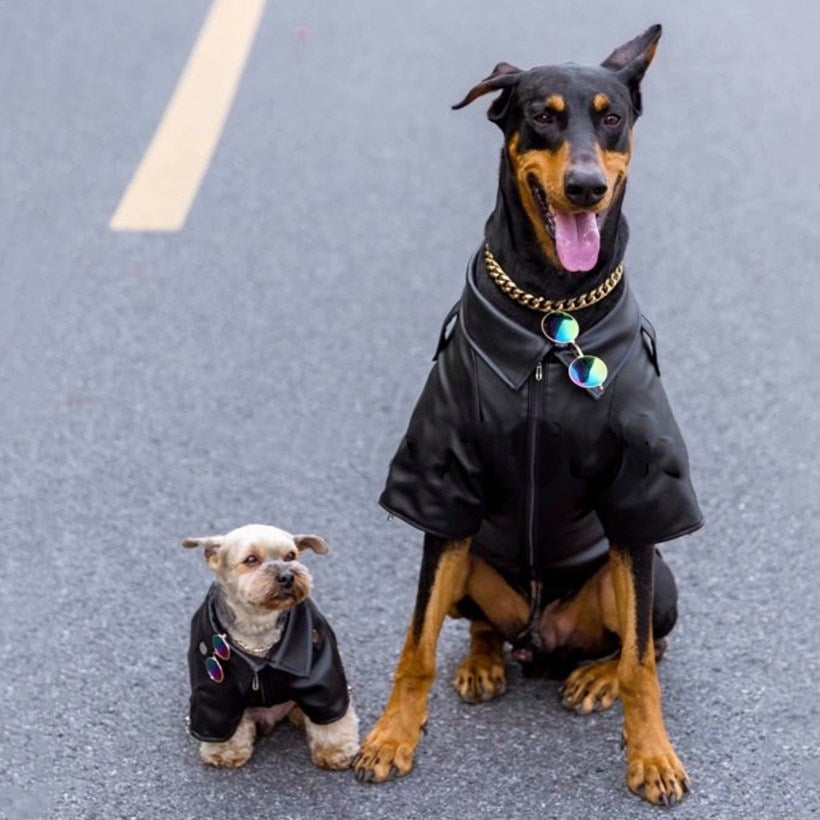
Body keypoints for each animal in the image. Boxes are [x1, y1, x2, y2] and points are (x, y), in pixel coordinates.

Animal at [184, 524, 360, 768]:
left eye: (291, 556)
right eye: (251, 559)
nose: (287, 576)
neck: (258, 624)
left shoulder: (322, 678)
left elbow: (332, 716)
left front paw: (335, 750)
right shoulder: (217, 692)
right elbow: (222, 722)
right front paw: (225, 752)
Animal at [354, 27, 704, 808]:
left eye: (611, 119)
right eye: (541, 116)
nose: (586, 187)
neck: (553, 314)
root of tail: (540, 636)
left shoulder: (641, 497)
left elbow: (642, 665)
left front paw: (652, 756)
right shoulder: (442, 490)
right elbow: (416, 643)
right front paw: (391, 736)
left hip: (656, 578)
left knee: (644, 641)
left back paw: (593, 676)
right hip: (475, 561)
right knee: (477, 626)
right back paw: (485, 661)